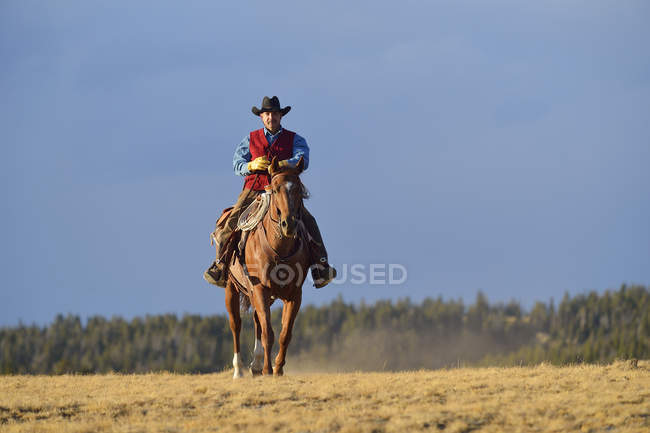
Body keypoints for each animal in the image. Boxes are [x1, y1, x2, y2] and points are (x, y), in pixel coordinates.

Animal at [225, 157, 312, 376]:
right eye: (275, 188)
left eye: (298, 188)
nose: (289, 224)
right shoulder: (260, 289)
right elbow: (268, 333)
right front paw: (267, 369)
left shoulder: (294, 295)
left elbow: (284, 333)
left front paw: (278, 368)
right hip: (232, 288)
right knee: (236, 324)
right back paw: (239, 370)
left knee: (257, 321)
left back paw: (255, 366)